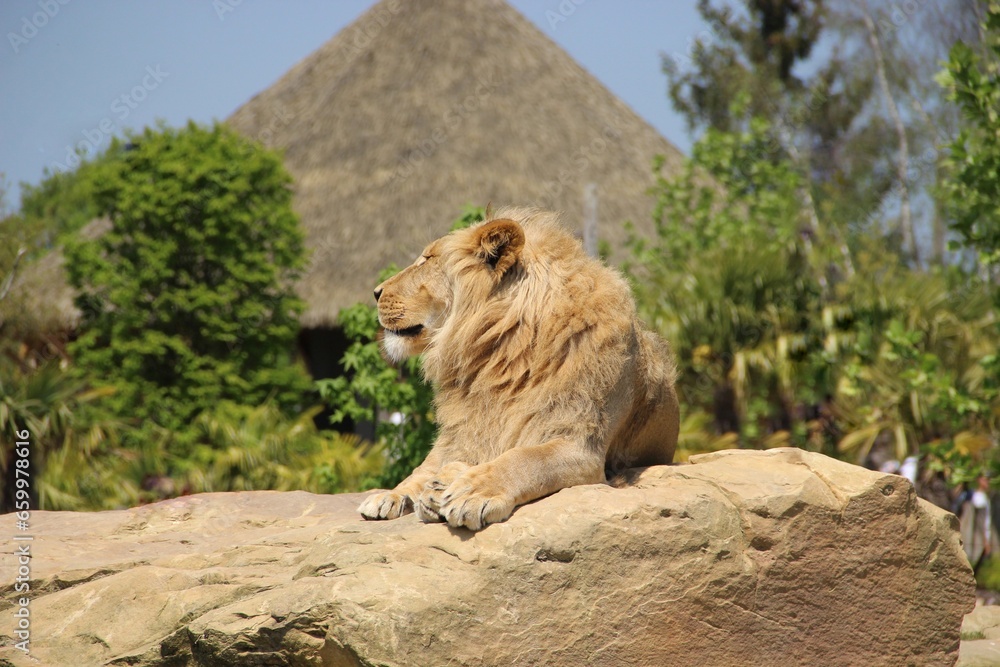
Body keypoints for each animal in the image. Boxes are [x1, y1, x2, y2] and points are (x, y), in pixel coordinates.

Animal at [358, 206, 679, 530]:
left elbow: (525, 459)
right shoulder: (461, 434)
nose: (375, 291)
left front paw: (471, 491)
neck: (499, 351)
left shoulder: (580, 446)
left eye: (428, 259)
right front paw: (393, 494)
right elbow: (424, 467)